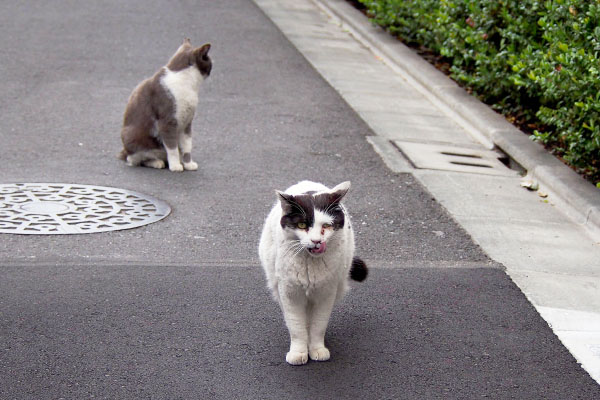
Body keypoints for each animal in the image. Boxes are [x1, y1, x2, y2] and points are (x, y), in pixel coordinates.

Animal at [118, 38, 212, 173]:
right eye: (209, 61)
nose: (211, 69)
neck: (188, 84)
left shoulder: (187, 122)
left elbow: (187, 146)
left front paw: (188, 164)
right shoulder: (167, 122)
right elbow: (172, 148)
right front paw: (175, 166)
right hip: (133, 138)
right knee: (136, 159)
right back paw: (157, 162)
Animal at [258, 181, 368, 366]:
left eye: (326, 226)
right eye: (302, 225)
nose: (316, 241)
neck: (310, 264)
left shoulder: (326, 293)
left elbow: (319, 324)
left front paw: (316, 349)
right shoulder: (290, 293)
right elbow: (296, 326)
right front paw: (298, 352)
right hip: (276, 284)